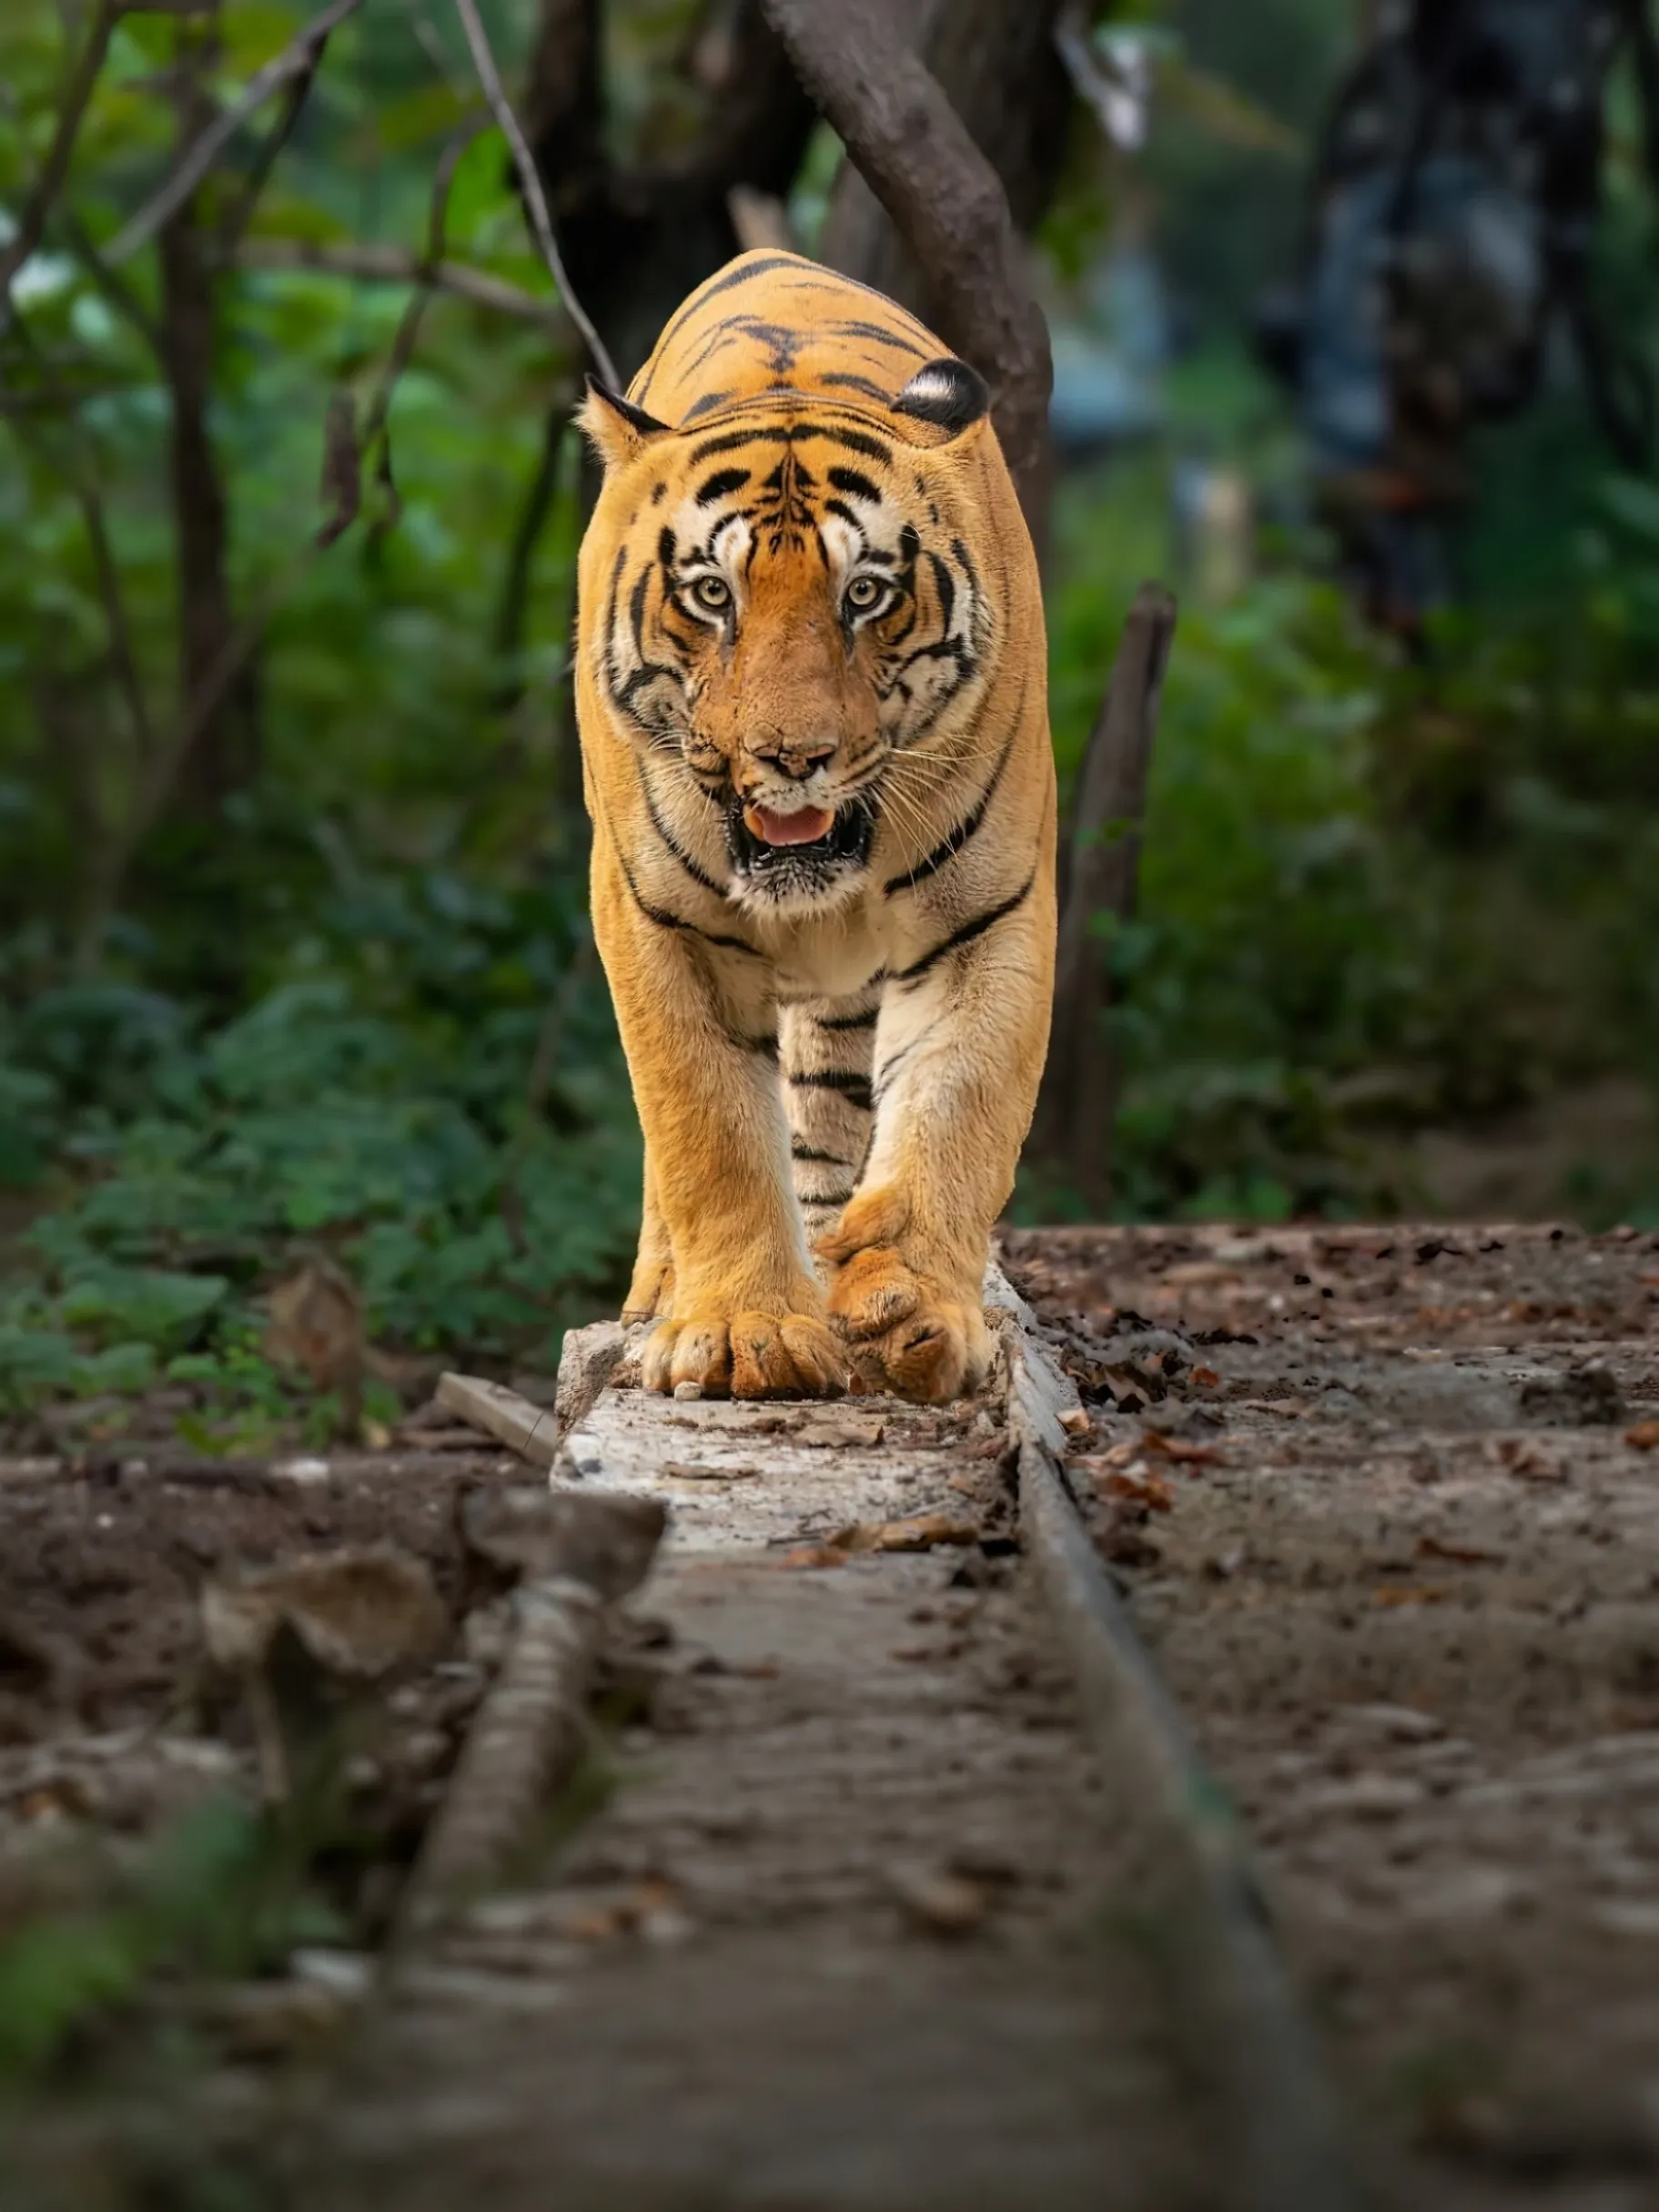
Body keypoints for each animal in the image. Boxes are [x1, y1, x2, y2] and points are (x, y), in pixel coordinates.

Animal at [574, 248, 1056, 1403]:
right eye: (711, 595)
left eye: (866, 594)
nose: (792, 758)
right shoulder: (659, 924)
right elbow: (705, 1129)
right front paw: (744, 1331)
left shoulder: (989, 917)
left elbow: (956, 1109)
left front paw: (911, 1311)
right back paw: (664, 1294)